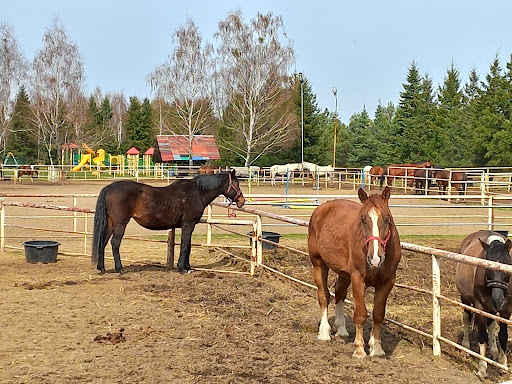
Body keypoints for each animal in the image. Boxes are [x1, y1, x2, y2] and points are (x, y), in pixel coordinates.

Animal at [93, 170, 245, 274]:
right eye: (236, 184)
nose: (242, 201)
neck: (197, 192)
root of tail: (110, 187)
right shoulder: (188, 224)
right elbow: (185, 246)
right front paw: (182, 268)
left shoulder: (188, 226)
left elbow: (188, 246)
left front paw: (188, 267)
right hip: (120, 224)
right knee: (115, 243)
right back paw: (120, 269)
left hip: (111, 224)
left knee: (103, 242)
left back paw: (102, 268)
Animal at [308, 188, 400, 358]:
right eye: (363, 219)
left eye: (387, 219)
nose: (375, 258)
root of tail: (322, 208)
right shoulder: (358, 279)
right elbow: (361, 314)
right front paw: (359, 349)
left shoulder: (387, 282)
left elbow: (378, 314)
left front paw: (376, 348)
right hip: (318, 263)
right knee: (324, 295)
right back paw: (324, 332)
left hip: (344, 273)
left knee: (339, 293)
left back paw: (341, 330)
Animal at [456, 231, 512, 378]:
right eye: (487, 267)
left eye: (507, 264)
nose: (498, 300)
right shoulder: (480, 307)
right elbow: (482, 336)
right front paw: (482, 368)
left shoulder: (506, 310)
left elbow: (502, 336)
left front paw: (503, 365)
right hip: (465, 299)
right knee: (467, 320)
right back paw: (465, 348)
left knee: (491, 325)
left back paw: (493, 351)